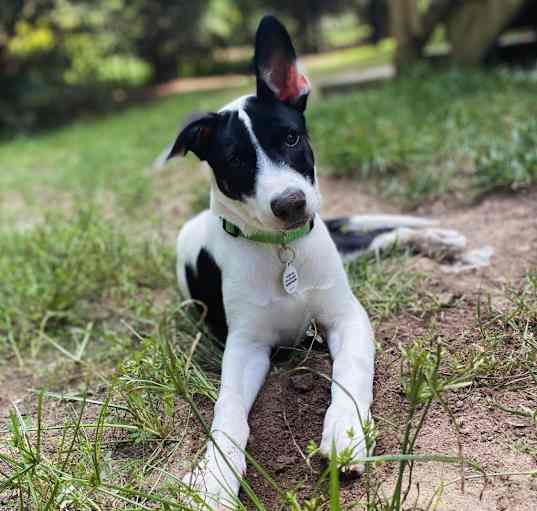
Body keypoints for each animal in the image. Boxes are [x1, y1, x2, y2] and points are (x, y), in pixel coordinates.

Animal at [162, 14, 468, 510]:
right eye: (234, 160)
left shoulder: (347, 317)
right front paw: (216, 475)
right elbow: (228, 408)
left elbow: (351, 372)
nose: (291, 204)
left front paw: (346, 432)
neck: (280, 249)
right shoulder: (246, 346)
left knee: (383, 234)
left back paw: (442, 241)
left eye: (291, 137)